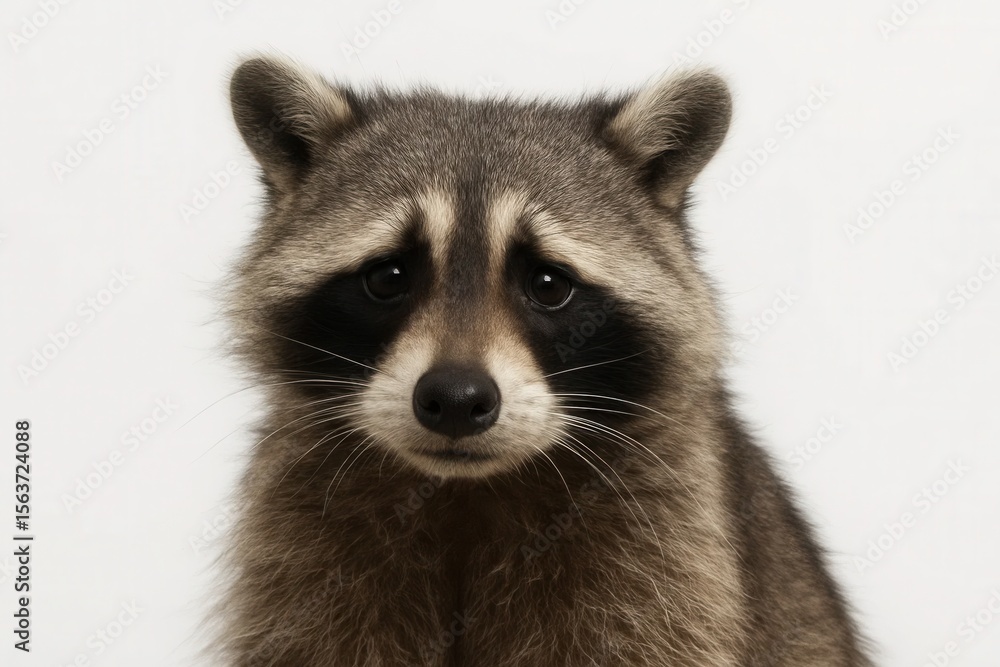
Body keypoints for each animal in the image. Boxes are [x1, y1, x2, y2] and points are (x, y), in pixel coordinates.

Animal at [218, 55, 871, 666]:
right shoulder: (298, 554)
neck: (465, 492)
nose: (455, 399)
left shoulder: (669, 556)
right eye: (388, 277)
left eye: (549, 285)